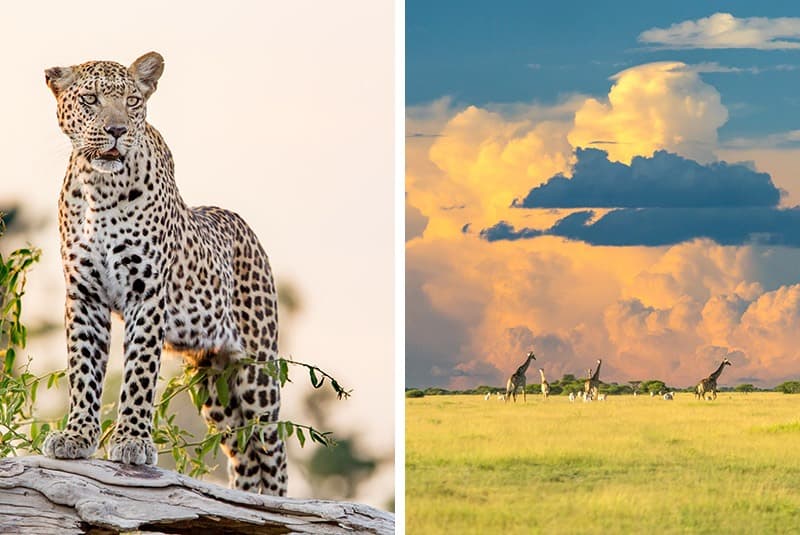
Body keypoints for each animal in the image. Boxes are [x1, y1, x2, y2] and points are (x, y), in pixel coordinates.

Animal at [40, 51, 287, 495]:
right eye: (90, 99)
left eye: (133, 101)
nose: (117, 130)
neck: (99, 188)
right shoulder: (84, 296)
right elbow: (83, 370)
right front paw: (77, 436)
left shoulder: (147, 293)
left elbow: (139, 371)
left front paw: (132, 442)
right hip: (214, 386)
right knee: (244, 453)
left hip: (256, 372)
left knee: (272, 450)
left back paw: (278, 504)